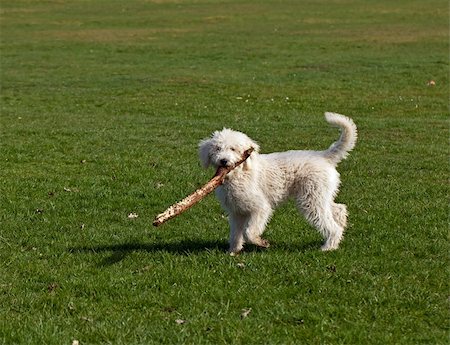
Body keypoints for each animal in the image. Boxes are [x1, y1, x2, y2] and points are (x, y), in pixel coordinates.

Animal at [199, 111, 356, 254]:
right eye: (217, 148)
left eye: (233, 149)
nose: (223, 161)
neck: (240, 173)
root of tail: (324, 156)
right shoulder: (237, 211)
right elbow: (236, 234)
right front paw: (233, 251)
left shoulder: (260, 208)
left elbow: (249, 232)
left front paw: (261, 242)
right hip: (320, 195)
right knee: (339, 209)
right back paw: (339, 234)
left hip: (311, 199)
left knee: (332, 224)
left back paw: (328, 246)